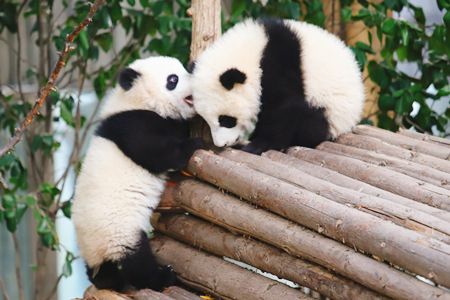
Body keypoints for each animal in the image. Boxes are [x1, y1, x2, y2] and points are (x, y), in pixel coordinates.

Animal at [72, 55, 202, 290]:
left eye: (184, 69)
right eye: (173, 80)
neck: (136, 99)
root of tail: (95, 253)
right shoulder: (134, 125)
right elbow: (160, 154)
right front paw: (194, 144)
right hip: (119, 230)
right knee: (136, 261)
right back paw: (162, 277)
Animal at [190, 18, 366, 155]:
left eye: (226, 120)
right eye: (206, 121)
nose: (222, 144)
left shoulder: (279, 66)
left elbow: (285, 107)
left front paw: (260, 144)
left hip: (330, 111)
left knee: (311, 122)